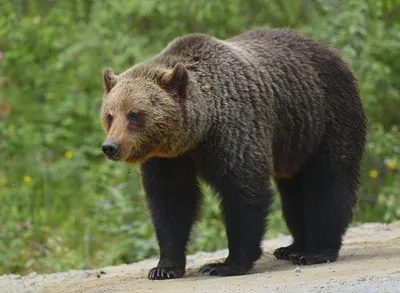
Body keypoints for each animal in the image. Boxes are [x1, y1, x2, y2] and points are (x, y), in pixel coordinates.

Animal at [99, 28, 366, 280]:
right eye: (110, 115)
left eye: (134, 114)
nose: (110, 146)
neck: (199, 130)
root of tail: (333, 51)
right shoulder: (168, 158)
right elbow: (171, 200)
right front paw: (165, 267)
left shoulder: (235, 131)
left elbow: (243, 191)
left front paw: (225, 264)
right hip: (293, 143)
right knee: (293, 192)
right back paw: (292, 247)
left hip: (326, 116)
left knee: (328, 181)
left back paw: (315, 251)